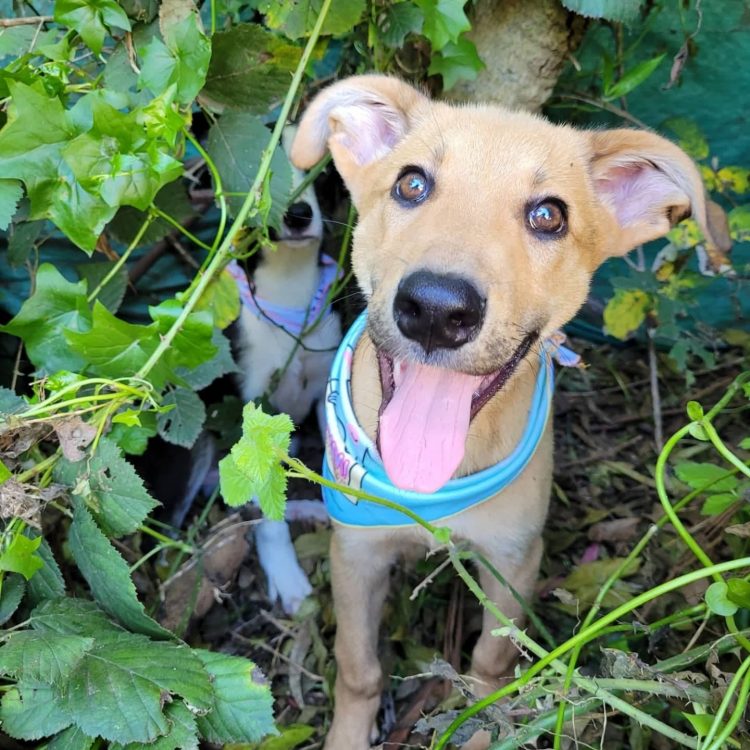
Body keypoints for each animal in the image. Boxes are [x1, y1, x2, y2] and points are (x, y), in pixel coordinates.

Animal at [290, 73, 708, 748]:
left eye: (549, 215)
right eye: (411, 184)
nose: (436, 309)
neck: (432, 487)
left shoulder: (514, 561)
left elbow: (489, 666)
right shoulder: (355, 553)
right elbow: (358, 668)